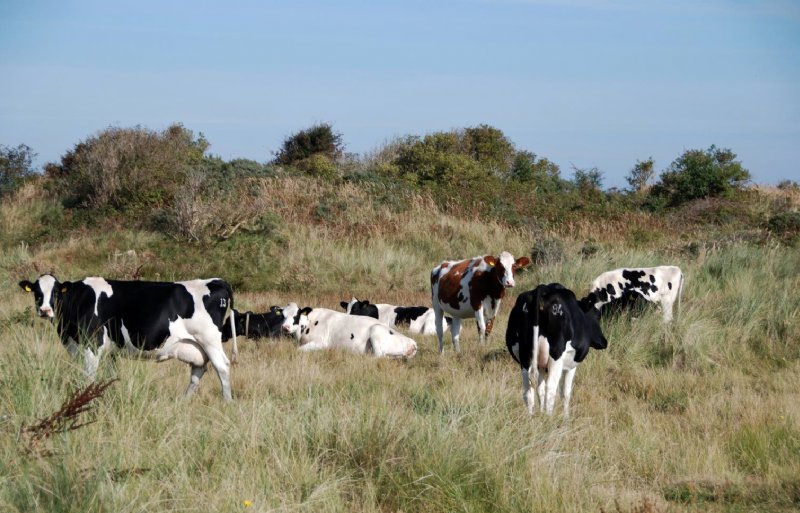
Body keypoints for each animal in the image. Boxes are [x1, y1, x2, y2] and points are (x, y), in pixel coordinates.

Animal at [18, 274, 238, 402]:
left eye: (56, 292)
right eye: (37, 292)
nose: (45, 310)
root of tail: (216, 280)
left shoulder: (92, 343)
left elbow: (88, 377)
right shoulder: (105, 350)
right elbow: (110, 375)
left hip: (209, 340)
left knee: (222, 367)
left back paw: (227, 402)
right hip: (196, 346)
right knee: (198, 370)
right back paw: (182, 402)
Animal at [280, 302, 418, 358]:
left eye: (296, 316)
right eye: (283, 315)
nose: (285, 327)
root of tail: (412, 342)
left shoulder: (321, 342)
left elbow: (298, 350)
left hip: (376, 330)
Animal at [504, 284, 608, 416]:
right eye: (597, 316)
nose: (604, 342)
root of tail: (542, 289)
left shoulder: (542, 366)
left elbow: (540, 390)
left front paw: (541, 413)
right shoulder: (571, 366)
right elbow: (566, 393)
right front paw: (566, 418)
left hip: (525, 358)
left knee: (528, 390)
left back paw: (531, 417)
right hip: (556, 357)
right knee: (551, 388)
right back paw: (549, 417)